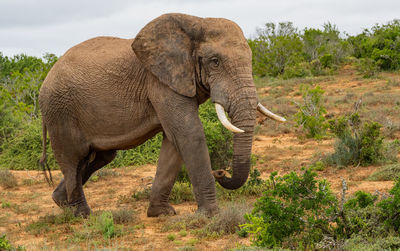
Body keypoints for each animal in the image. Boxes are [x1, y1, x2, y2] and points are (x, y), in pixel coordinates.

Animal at [39, 12, 286, 217]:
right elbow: (189, 134)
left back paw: (61, 202)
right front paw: (210, 216)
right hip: (60, 110)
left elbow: (173, 142)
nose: (221, 173)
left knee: (99, 157)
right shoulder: (159, 81)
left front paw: (161, 213)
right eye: (215, 62)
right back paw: (82, 214)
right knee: (73, 159)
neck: (196, 22)